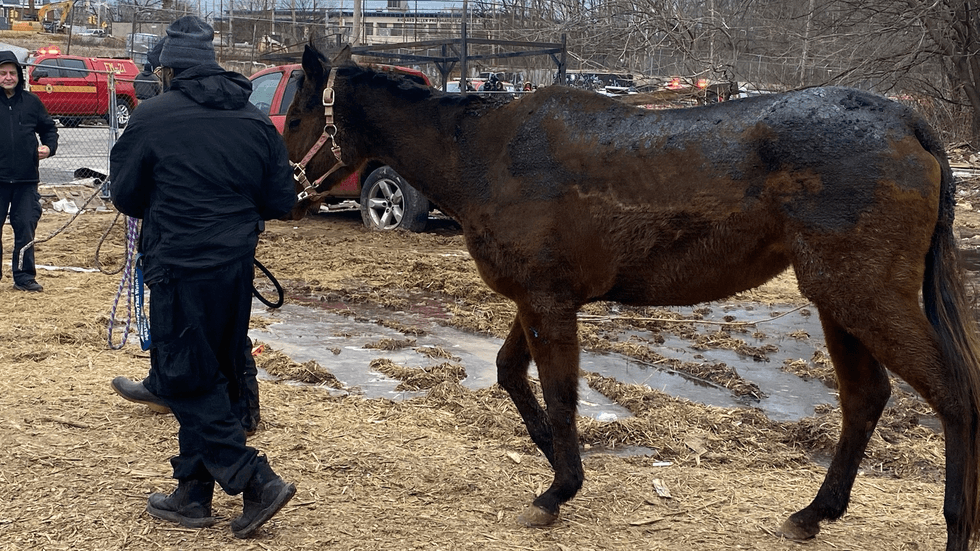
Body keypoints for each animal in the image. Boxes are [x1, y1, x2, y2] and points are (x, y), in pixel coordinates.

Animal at [283, 44, 980, 550]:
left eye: (298, 114)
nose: (286, 194)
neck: (487, 154)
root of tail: (907, 122)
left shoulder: (549, 303)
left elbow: (561, 394)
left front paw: (557, 490)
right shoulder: (539, 300)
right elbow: (511, 374)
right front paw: (555, 460)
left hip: (862, 294)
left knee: (952, 395)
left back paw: (954, 526)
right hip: (838, 301)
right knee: (866, 399)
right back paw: (812, 514)